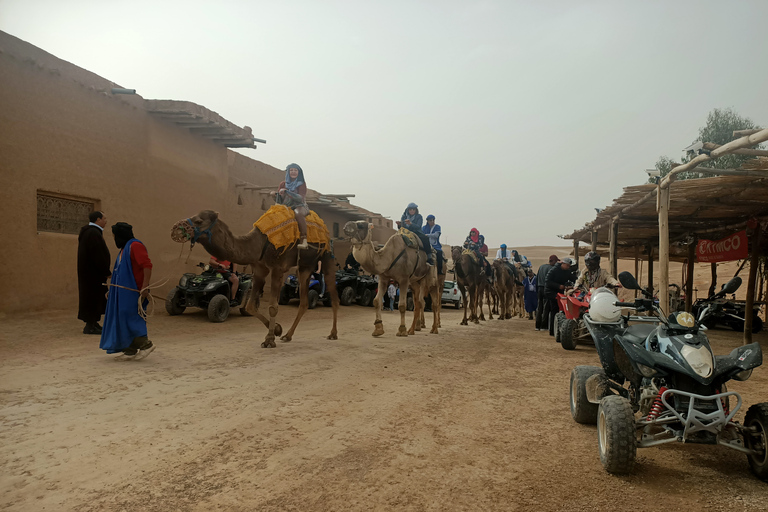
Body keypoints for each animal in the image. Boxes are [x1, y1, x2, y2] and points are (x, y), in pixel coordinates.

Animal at [174, 209, 342, 348]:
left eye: (198, 221)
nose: (176, 229)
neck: (257, 244)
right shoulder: (260, 269)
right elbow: (250, 306)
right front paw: (278, 330)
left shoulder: (277, 268)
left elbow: (273, 306)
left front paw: (269, 340)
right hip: (305, 266)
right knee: (304, 302)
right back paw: (288, 336)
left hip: (327, 257)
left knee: (334, 297)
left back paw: (333, 334)